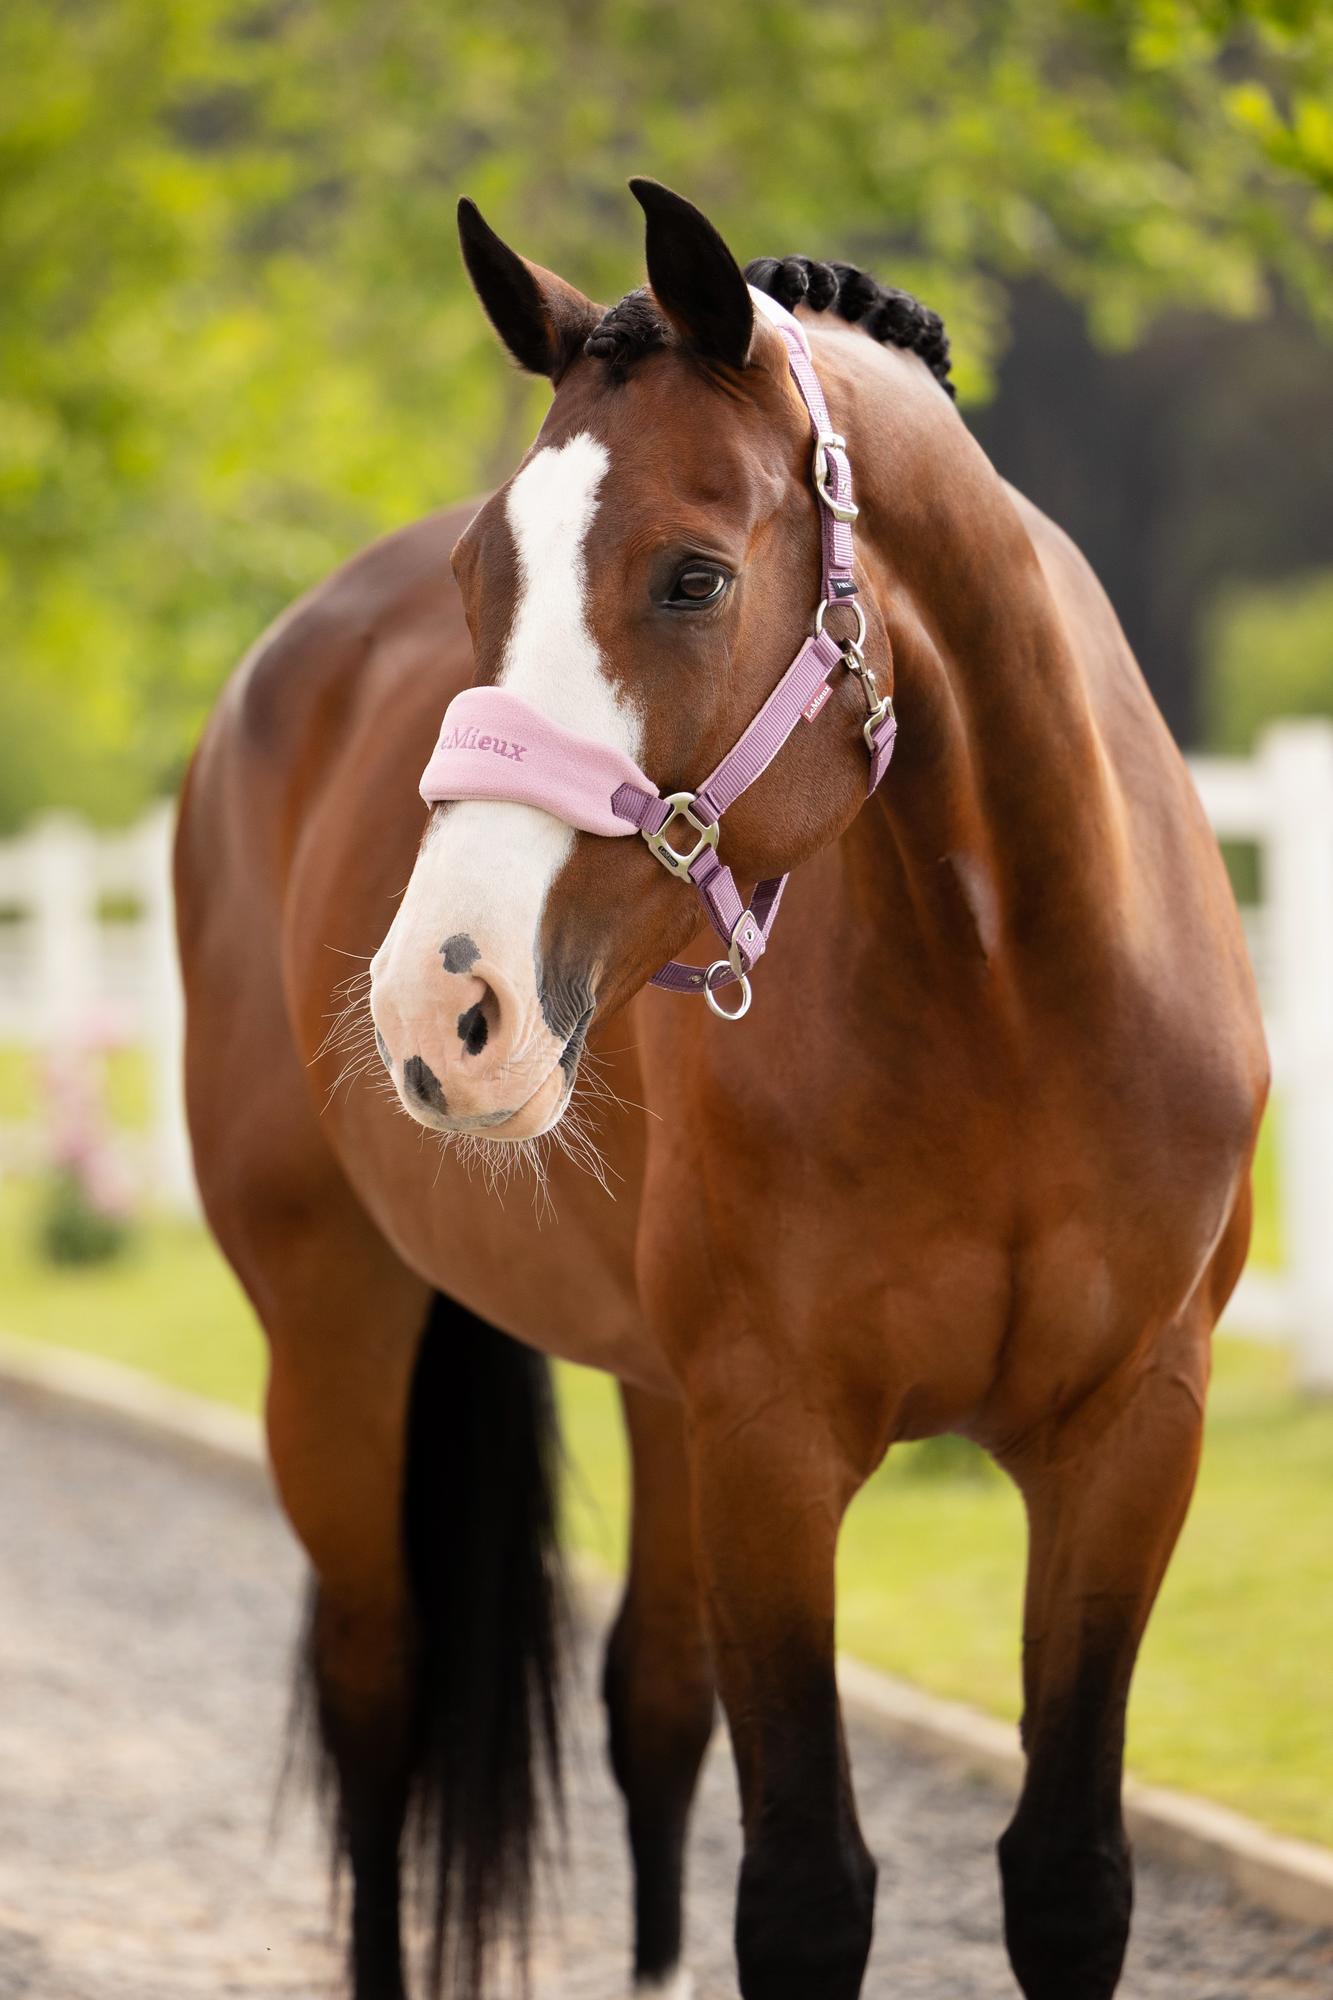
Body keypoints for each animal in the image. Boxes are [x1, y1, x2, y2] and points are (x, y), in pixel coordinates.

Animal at [175, 179, 1267, 2000]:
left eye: (690, 576)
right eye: (478, 574)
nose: (438, 1001)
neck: (1013, 1001)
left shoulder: (1130, 1437)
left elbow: (1067, 1875)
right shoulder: (772, 1443)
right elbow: (808, 1889)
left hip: (652, 1392)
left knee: (649, 1711)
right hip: (333, 1329)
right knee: (379, 1701)